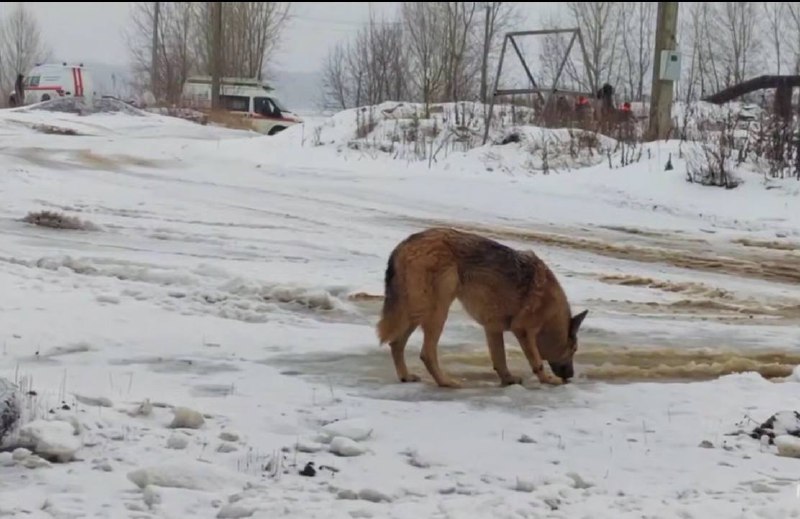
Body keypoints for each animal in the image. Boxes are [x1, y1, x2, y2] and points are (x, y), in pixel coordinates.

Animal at [376, 225, 588, 388]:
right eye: (574, 349)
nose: (571, 375)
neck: (550, 314)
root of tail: (404, 244)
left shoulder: (493, 328)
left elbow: (500, 360)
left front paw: (508, 380)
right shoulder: (523, 331)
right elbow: (536, 362)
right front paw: (548, 380)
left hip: (417, 311)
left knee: (396, 343)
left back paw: (406, 376)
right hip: (437, 312)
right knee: (426, 353)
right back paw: (446, 382)